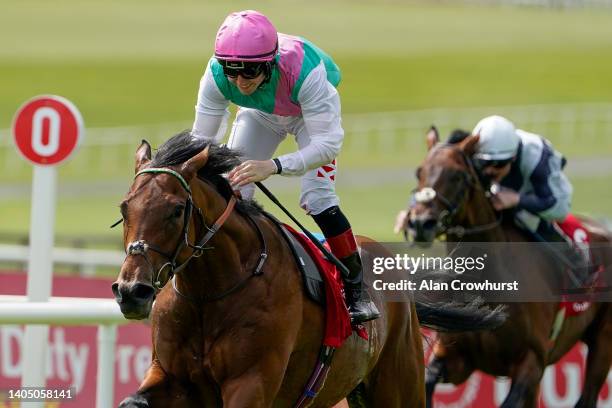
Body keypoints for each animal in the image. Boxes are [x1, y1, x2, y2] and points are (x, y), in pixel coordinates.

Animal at [112, 131, 504, 408]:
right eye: (124, 206)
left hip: (399, 385)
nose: (132, 291)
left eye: (176, 209)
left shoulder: (251, 383)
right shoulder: (171, 376)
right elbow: (132, 401)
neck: (210, 293)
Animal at [402, 131, 612, 408]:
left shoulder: (532, 360)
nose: (420, 223)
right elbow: (426, 382)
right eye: (419, 172)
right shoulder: (455, 357)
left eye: (458, 175)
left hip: (602, 342)